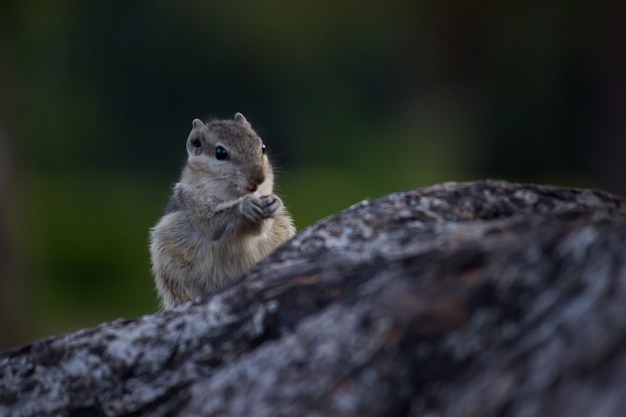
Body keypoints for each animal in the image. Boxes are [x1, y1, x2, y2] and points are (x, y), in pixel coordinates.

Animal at [149, 112, 294, 308]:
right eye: (220, 153)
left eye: (262, 147)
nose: (259, 178)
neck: (233, 194)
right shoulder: (197, 204)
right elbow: (213, 224)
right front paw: (244, 205)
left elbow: (258, 230)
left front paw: (275, 203)